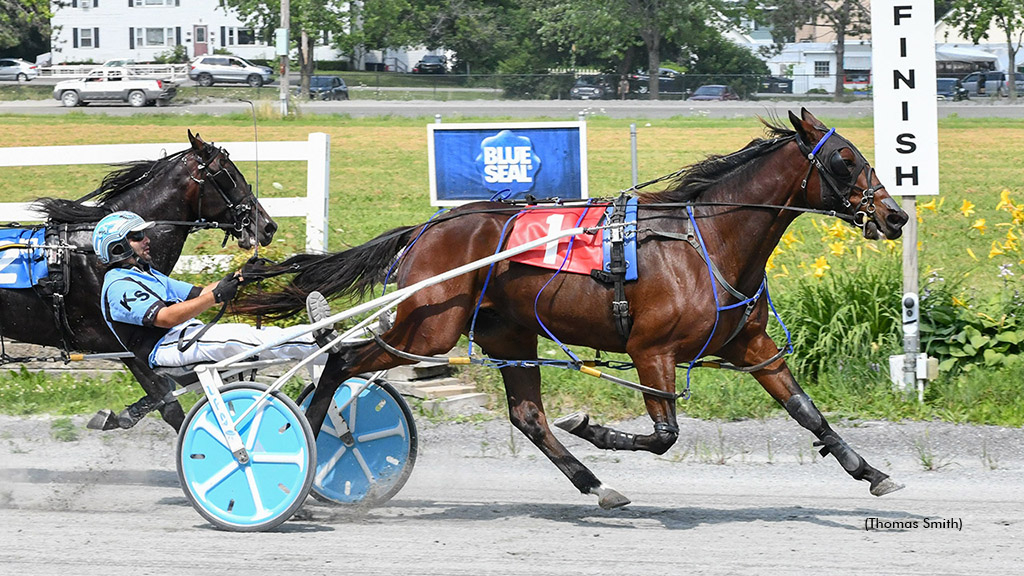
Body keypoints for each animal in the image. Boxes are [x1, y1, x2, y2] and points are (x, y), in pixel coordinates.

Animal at [241, 109, 913, 504]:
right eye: (845, 160)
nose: (896, 216)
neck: (707, 241)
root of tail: (426, 229)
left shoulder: (752, 344)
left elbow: (807, 411)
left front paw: (871, 472)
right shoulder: (651, 350)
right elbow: (664, 435)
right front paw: (593, 427)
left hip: (507, 333)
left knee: (527, 417)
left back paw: (596, 484)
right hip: (428, 329)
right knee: (342, 359)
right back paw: (304, 439)